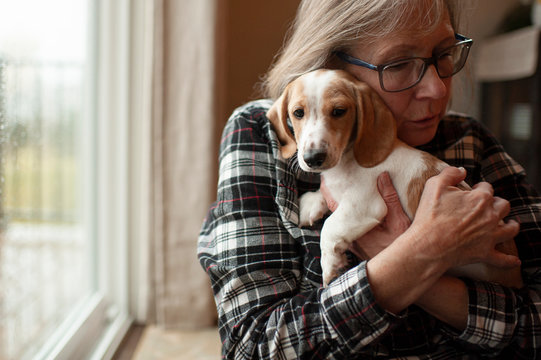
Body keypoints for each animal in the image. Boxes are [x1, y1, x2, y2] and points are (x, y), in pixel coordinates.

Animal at [266, 69, 520, 288]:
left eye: (339, 111)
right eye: (298, 113)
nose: (312, 158)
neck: (346, 163)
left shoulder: (364, 205)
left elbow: (330, 226)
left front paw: (330, 265)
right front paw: (311, 203)